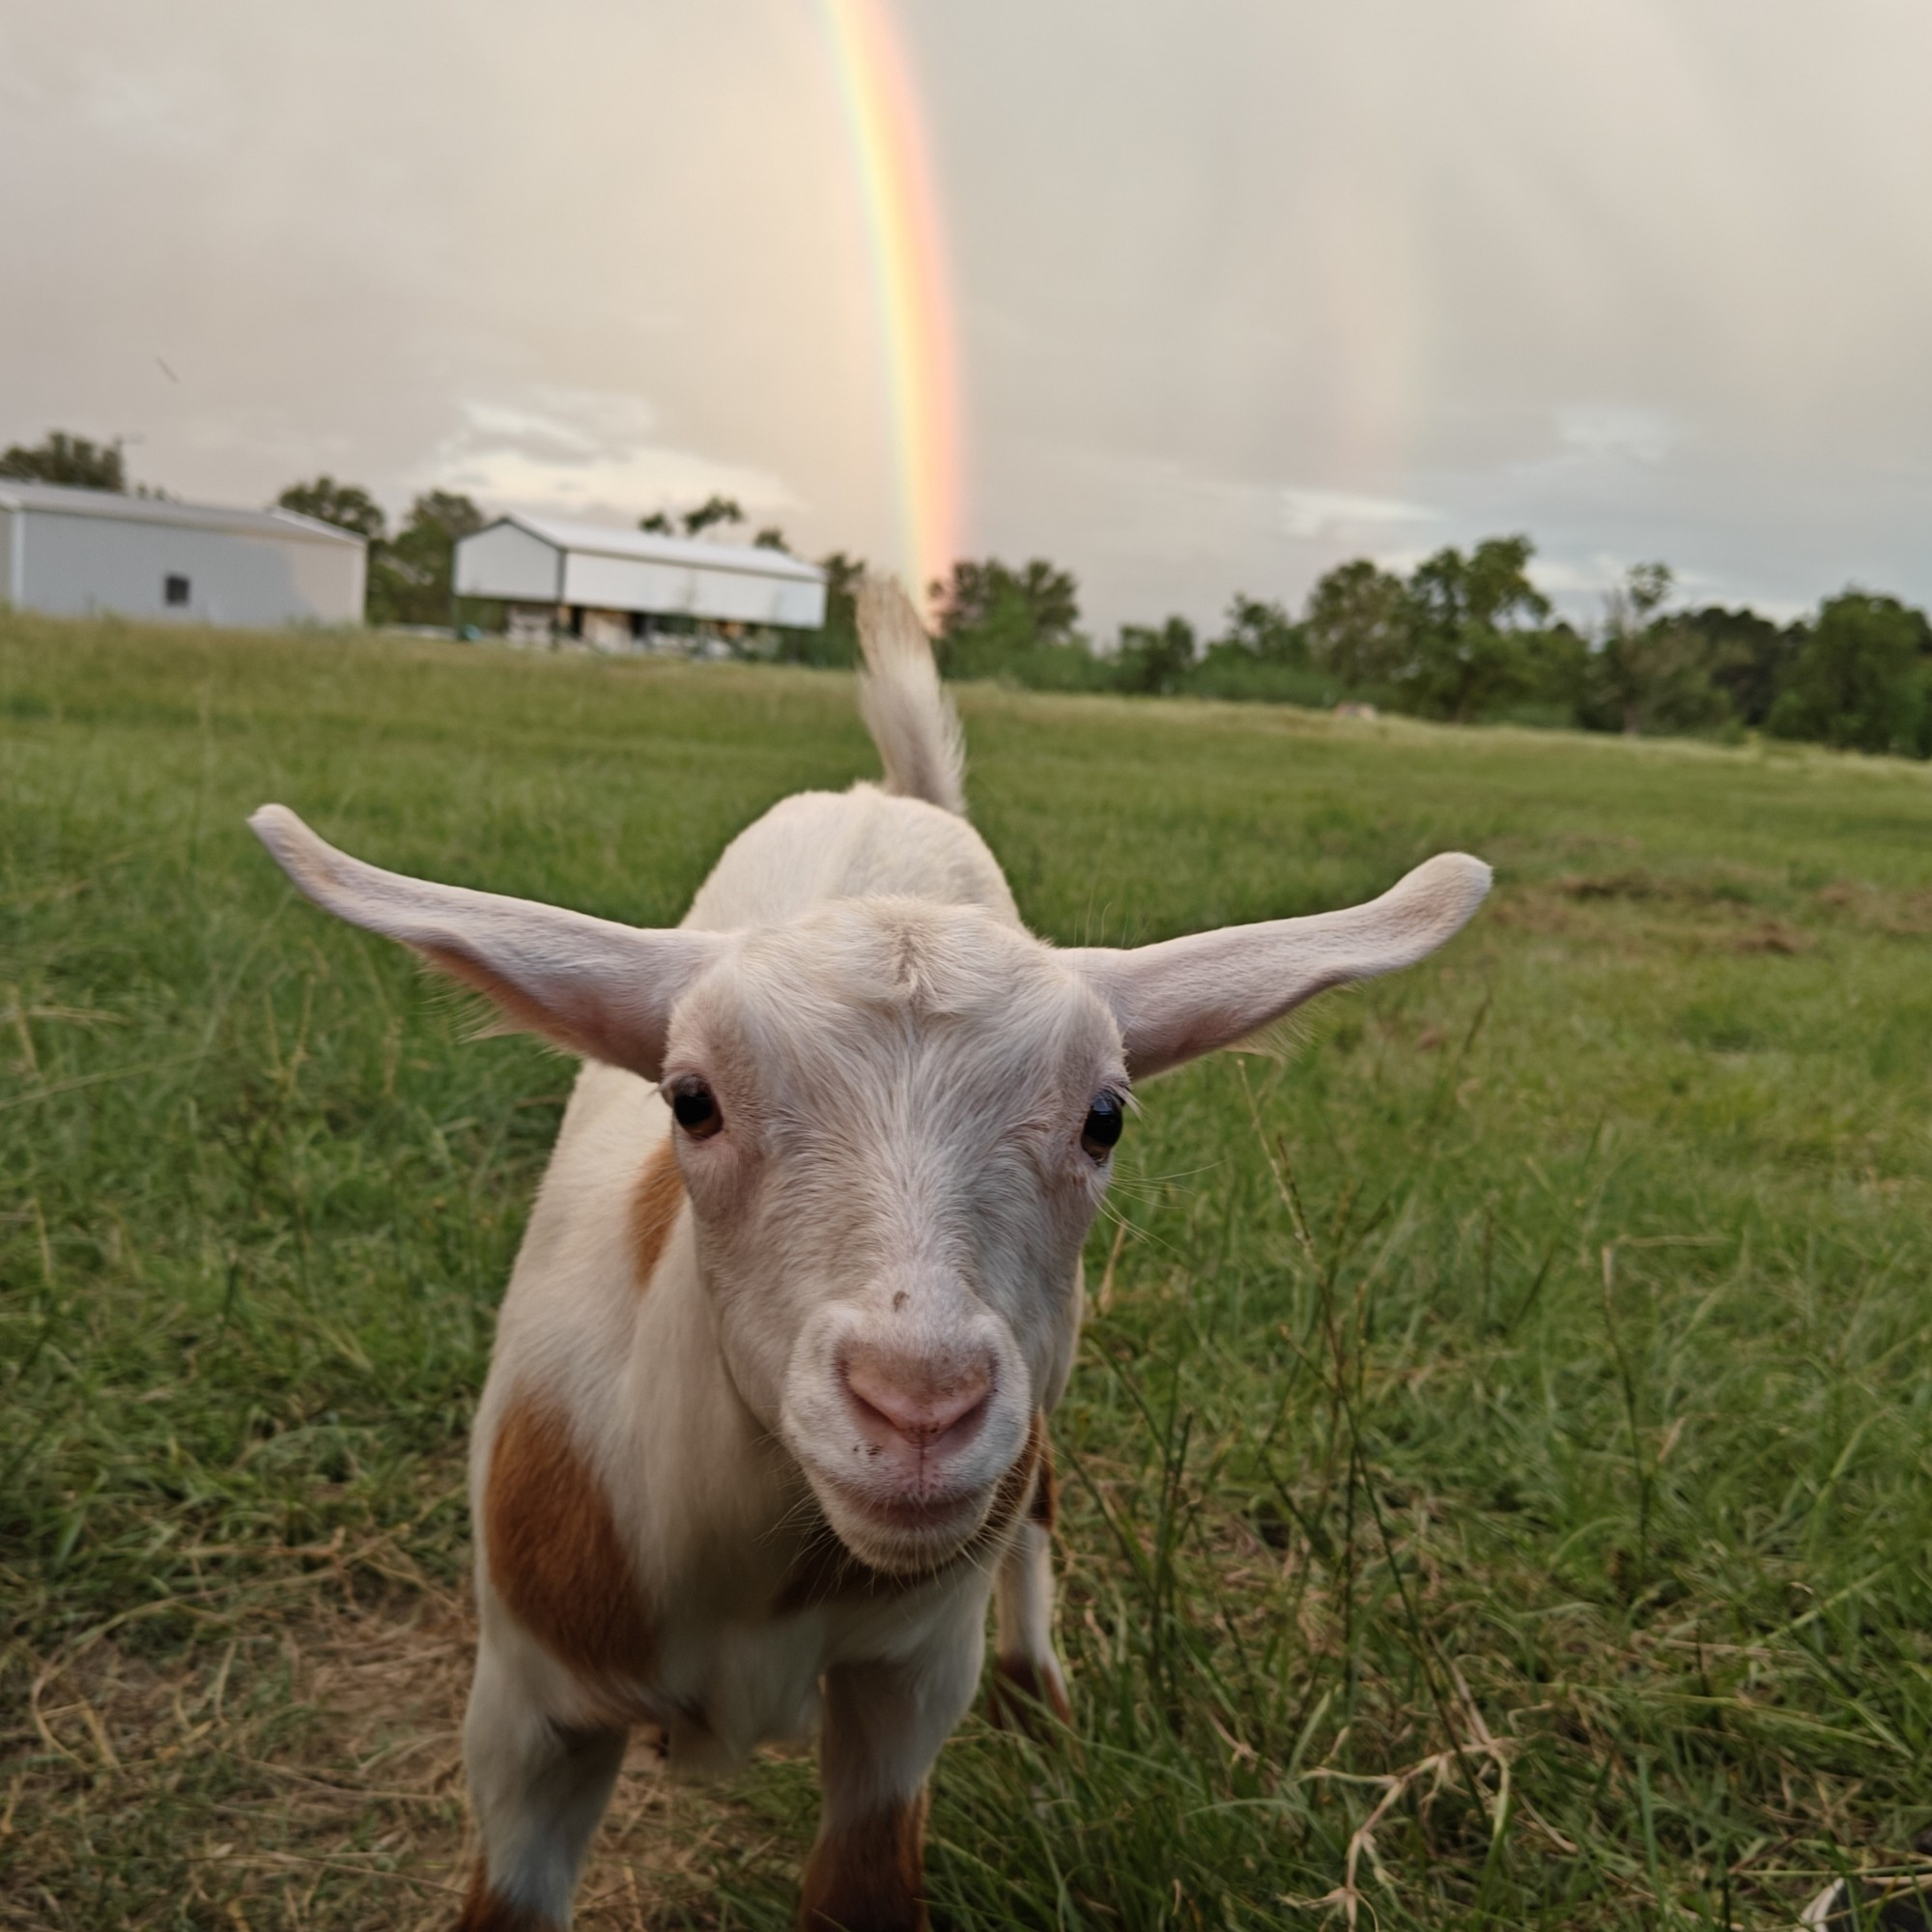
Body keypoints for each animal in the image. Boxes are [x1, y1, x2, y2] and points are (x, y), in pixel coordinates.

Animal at [245, 587, 1492, 1932]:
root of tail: (891, 796)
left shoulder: (906, 1681)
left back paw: (1040, 1705)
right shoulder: (526, 1712)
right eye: (690, 1100)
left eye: (1105, 1117)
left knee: (1039, 1498)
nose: (917, 1409)